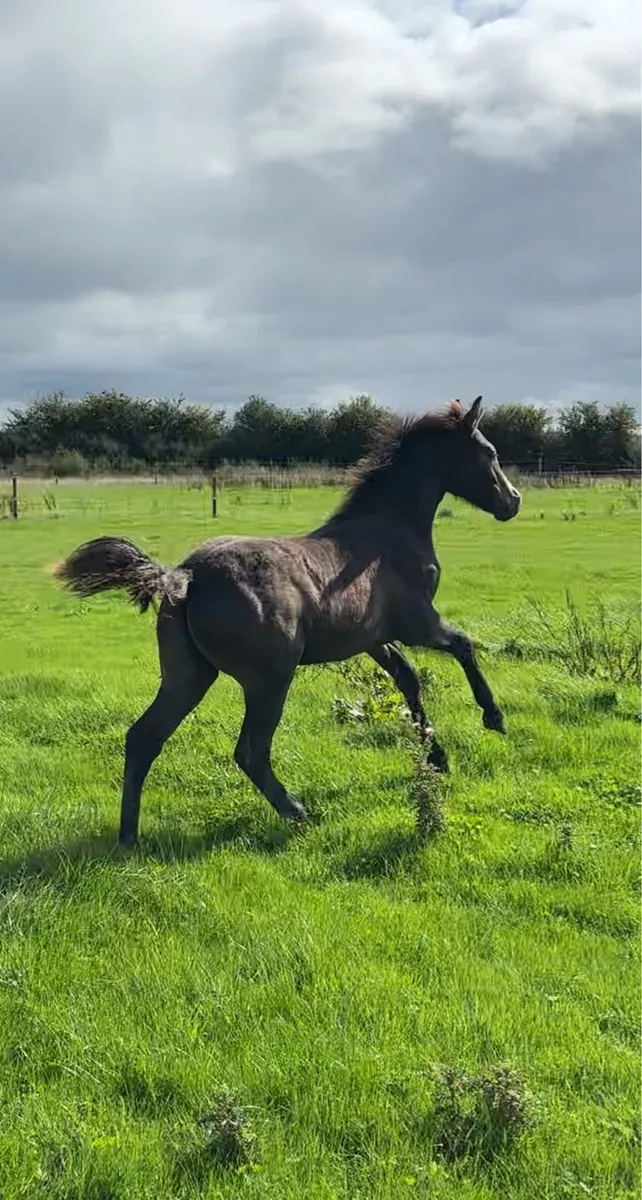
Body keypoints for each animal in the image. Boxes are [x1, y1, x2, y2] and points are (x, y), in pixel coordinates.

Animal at [55, 395, 521, 845]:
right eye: (490, 452)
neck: (390, 533)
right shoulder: (418, 623)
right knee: (249, 751)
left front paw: (437, 757)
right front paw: (493, 718)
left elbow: (408, 678)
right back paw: (298, 813)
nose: (513, 501)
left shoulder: (372, 637)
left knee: (143, 738)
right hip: (269, 678)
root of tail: (185, 576)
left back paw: (128, 837)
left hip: (188, 675)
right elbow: (463, 645)